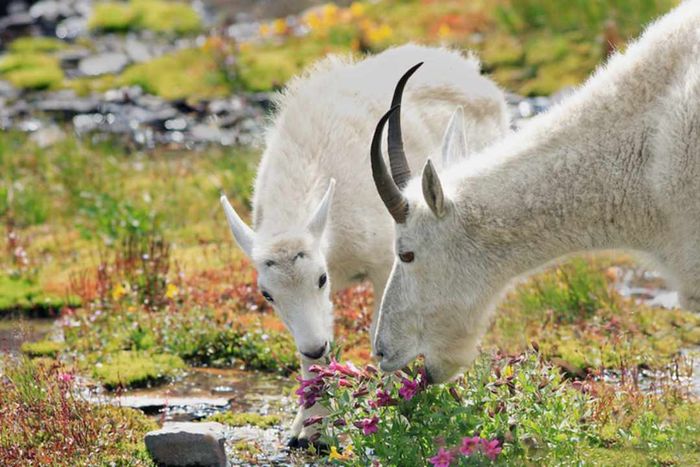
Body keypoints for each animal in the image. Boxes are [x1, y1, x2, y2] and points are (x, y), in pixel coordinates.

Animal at [220, 44, 508, 444]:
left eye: (320, 278)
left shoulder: (386, 264)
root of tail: (476, 74)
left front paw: (391, 415)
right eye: (266, 295)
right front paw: (310, 429)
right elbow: (314, 347)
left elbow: (380, 335)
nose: (315, 345)